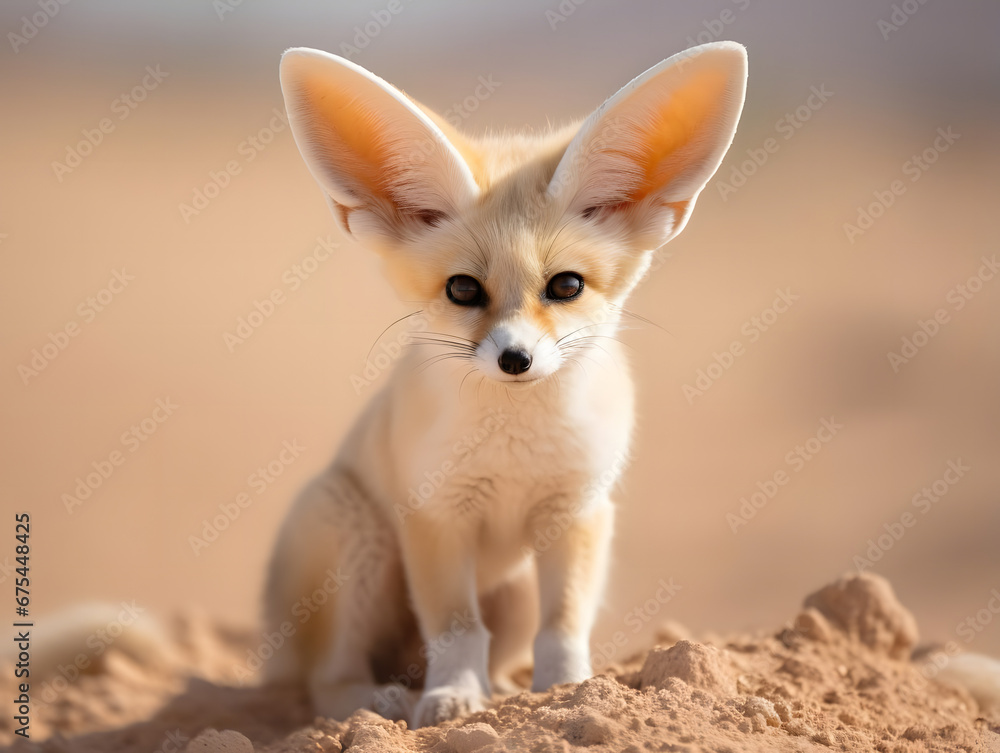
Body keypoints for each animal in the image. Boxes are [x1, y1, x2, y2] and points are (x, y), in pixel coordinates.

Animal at [263, 42, 749, 728]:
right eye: (463, 290)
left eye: (566, 286)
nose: (515, 358)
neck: (515, 450)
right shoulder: (436, 515)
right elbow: (457, 629)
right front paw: (452, 698)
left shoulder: (577, 510)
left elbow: (563, 626)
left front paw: (569, 690)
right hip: (350, 530)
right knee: (326, 680)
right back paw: (381, 698)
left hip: (512, 589)